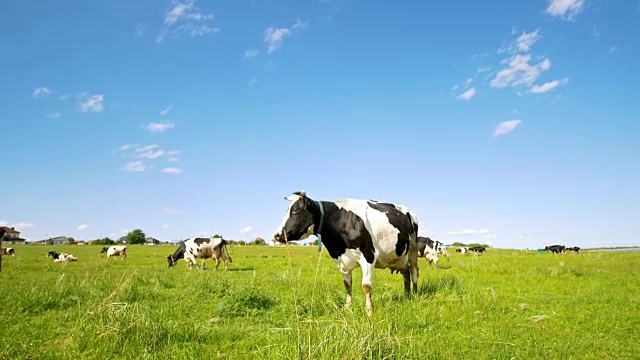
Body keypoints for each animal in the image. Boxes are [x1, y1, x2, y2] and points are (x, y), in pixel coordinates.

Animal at [274, 191, 420, 318]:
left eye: (295, 211)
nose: (276, 235)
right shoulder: (342, 261)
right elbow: (347, 285)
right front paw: (347, 308)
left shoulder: (368, 255)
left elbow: (366, 286)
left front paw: (369, 312)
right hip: (400, 257)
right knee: (406, 274)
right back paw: (406, 296)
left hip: (413, 248)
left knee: (414, 272)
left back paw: (415, 295)